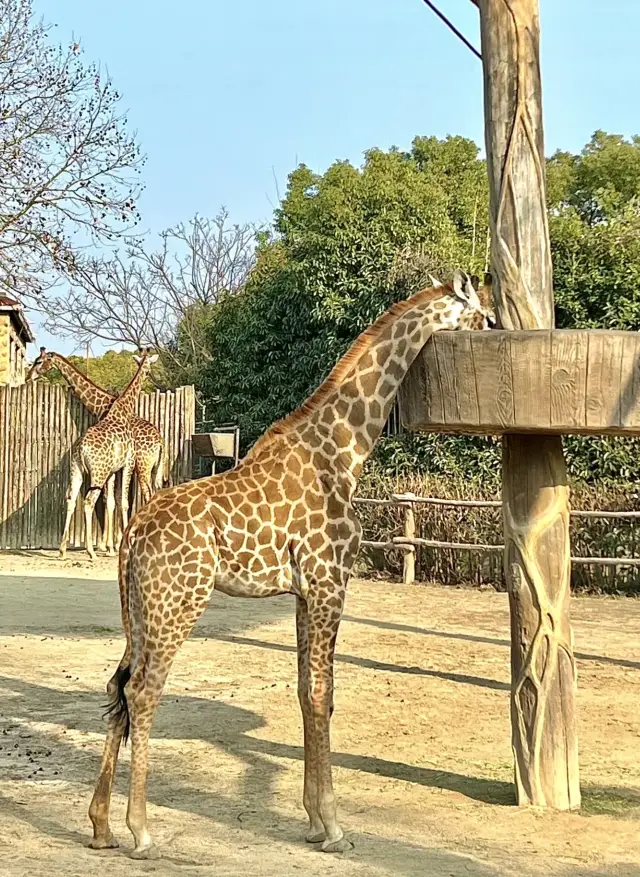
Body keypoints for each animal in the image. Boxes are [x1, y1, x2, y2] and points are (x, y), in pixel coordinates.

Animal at [87, 270, 492, 860]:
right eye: (486, 316)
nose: (499, 331)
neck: (346, 450)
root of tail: (132, 533)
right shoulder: (329, 581)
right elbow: (323, 693)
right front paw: (334, 825)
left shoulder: (304, 591)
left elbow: (305, 691)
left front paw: (313, 820)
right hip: (180, 601)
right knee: (143, 691)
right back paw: (140, 831)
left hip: (138, 611)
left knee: (117, 688)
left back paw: (101, 826)